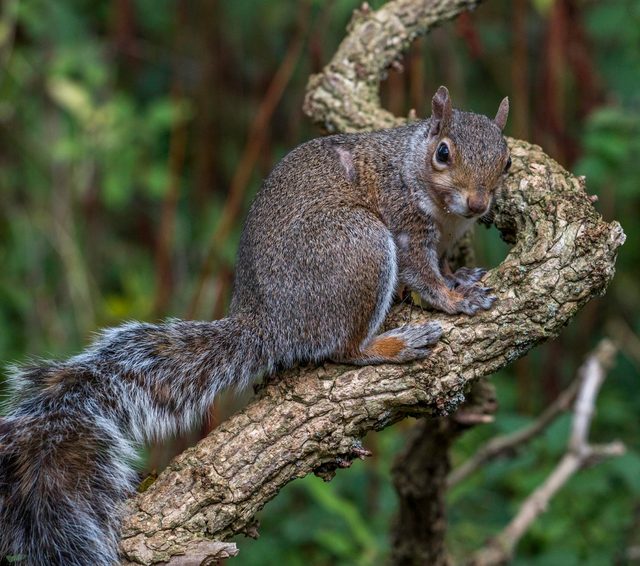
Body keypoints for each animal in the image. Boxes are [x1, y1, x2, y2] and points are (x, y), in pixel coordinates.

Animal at [0, 86, 509, 565]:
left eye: (506, 160)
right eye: (442, 153)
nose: (478, 203)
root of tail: (270, 322)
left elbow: (440, 268)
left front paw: (459, 278)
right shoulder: (405, 222)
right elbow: (422, 273)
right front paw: (454, 298)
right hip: (357, 247)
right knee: (344, 347)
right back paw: (392, 345)